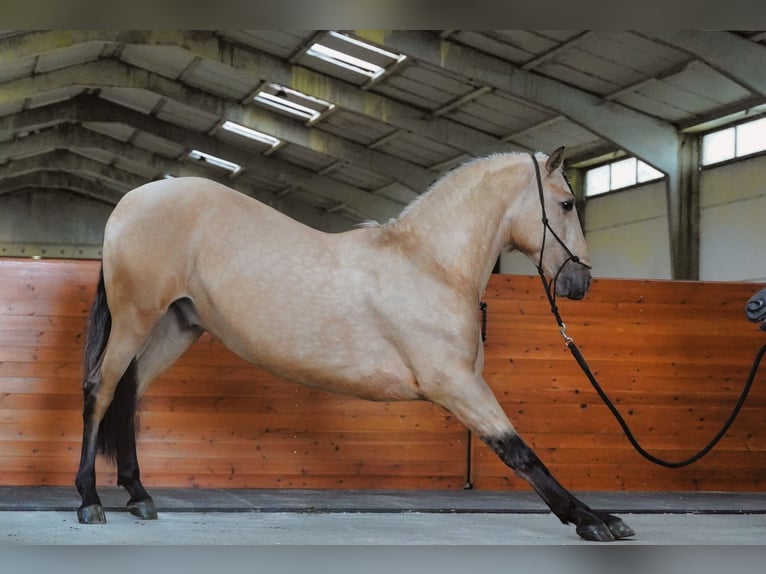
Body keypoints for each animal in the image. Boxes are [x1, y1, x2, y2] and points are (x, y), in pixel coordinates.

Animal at [73, 146, 636, 544]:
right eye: (566, 203)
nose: (580, 283)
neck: (429, 264)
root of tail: (135, 198)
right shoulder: (456, 385)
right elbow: (518, 451)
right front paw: (592, 519)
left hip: (174, 328)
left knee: (129, 395)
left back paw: (139, 496)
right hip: (135, 319)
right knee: (101, 390)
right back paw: (88, 500)